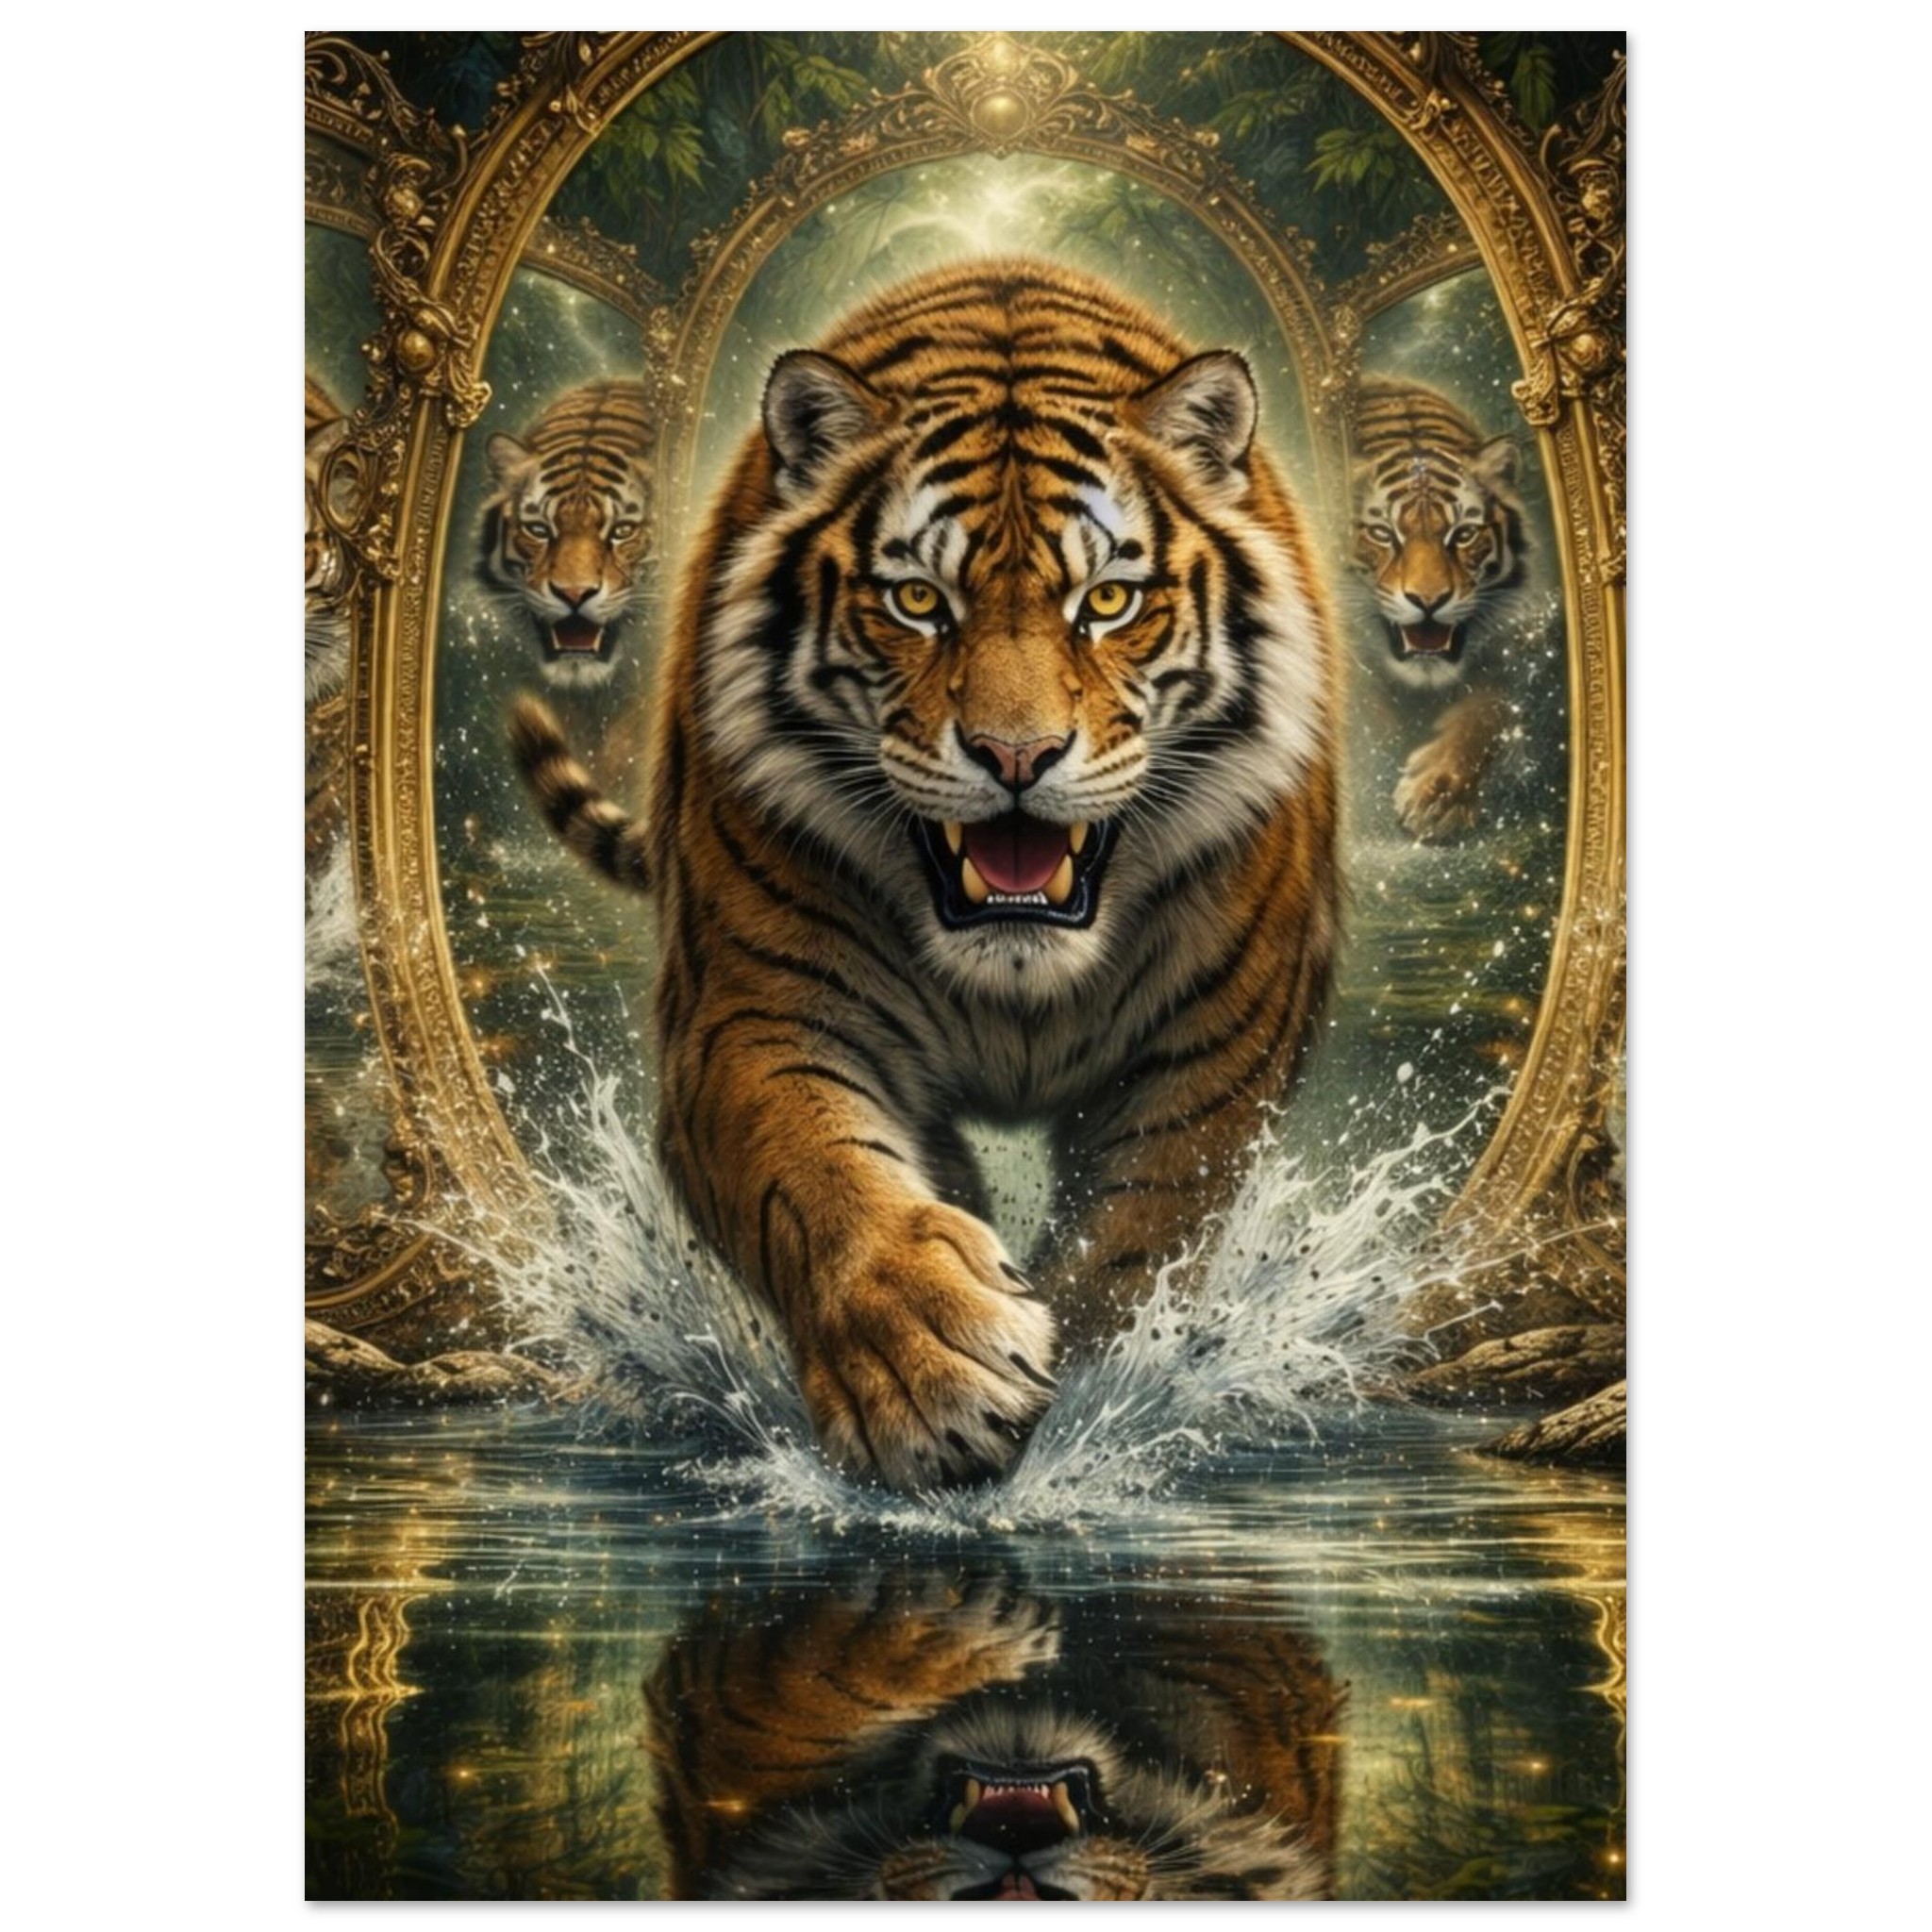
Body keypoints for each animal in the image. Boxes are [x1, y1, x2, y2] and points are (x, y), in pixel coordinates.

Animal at [511, 259, 1340, 1492]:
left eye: (1106, 603)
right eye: (917, 602)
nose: (1014, 756)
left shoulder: (1213, 1057)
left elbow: (1137, 1236)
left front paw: (1090, 1400)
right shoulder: (749, 1017)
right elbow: (817, 1173)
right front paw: (929, 1366)